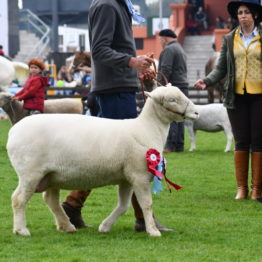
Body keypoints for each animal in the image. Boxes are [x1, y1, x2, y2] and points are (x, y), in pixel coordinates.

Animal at [6, 85, 199, 237]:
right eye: (172, 100)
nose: (197, 112)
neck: (147, 128)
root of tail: (13, 131)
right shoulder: (139, 175)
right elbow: (146, 204)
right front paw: (153, 231)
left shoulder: (126, 178)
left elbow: (123, 206)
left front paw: (105, 226)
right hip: (31, 173)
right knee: (18, 199)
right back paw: (21, 230)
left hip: (52, 175)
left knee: (50, 200)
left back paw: (67, 226)